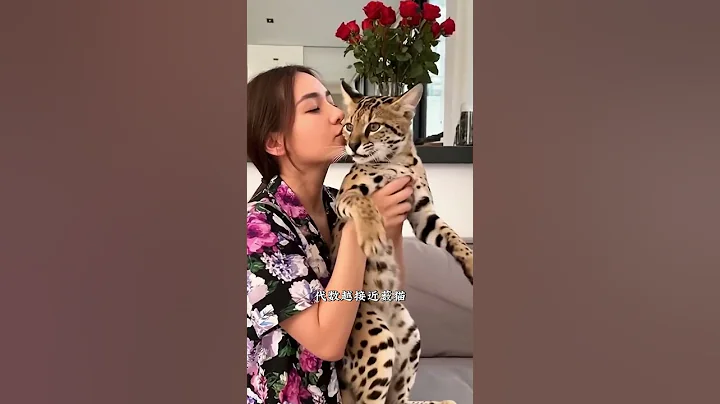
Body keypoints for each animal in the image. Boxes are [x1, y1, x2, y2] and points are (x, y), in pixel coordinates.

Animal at [328, 79, 473, 404]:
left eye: (373, 126)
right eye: (348, 126)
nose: (351, 146)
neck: (397, 163)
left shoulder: (423, 215)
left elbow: (453, 235)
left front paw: (472, 261)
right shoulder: (345, 197)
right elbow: (364, 203)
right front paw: (372, 236)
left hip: (412, 339)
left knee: (399, 400)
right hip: (378, 342)